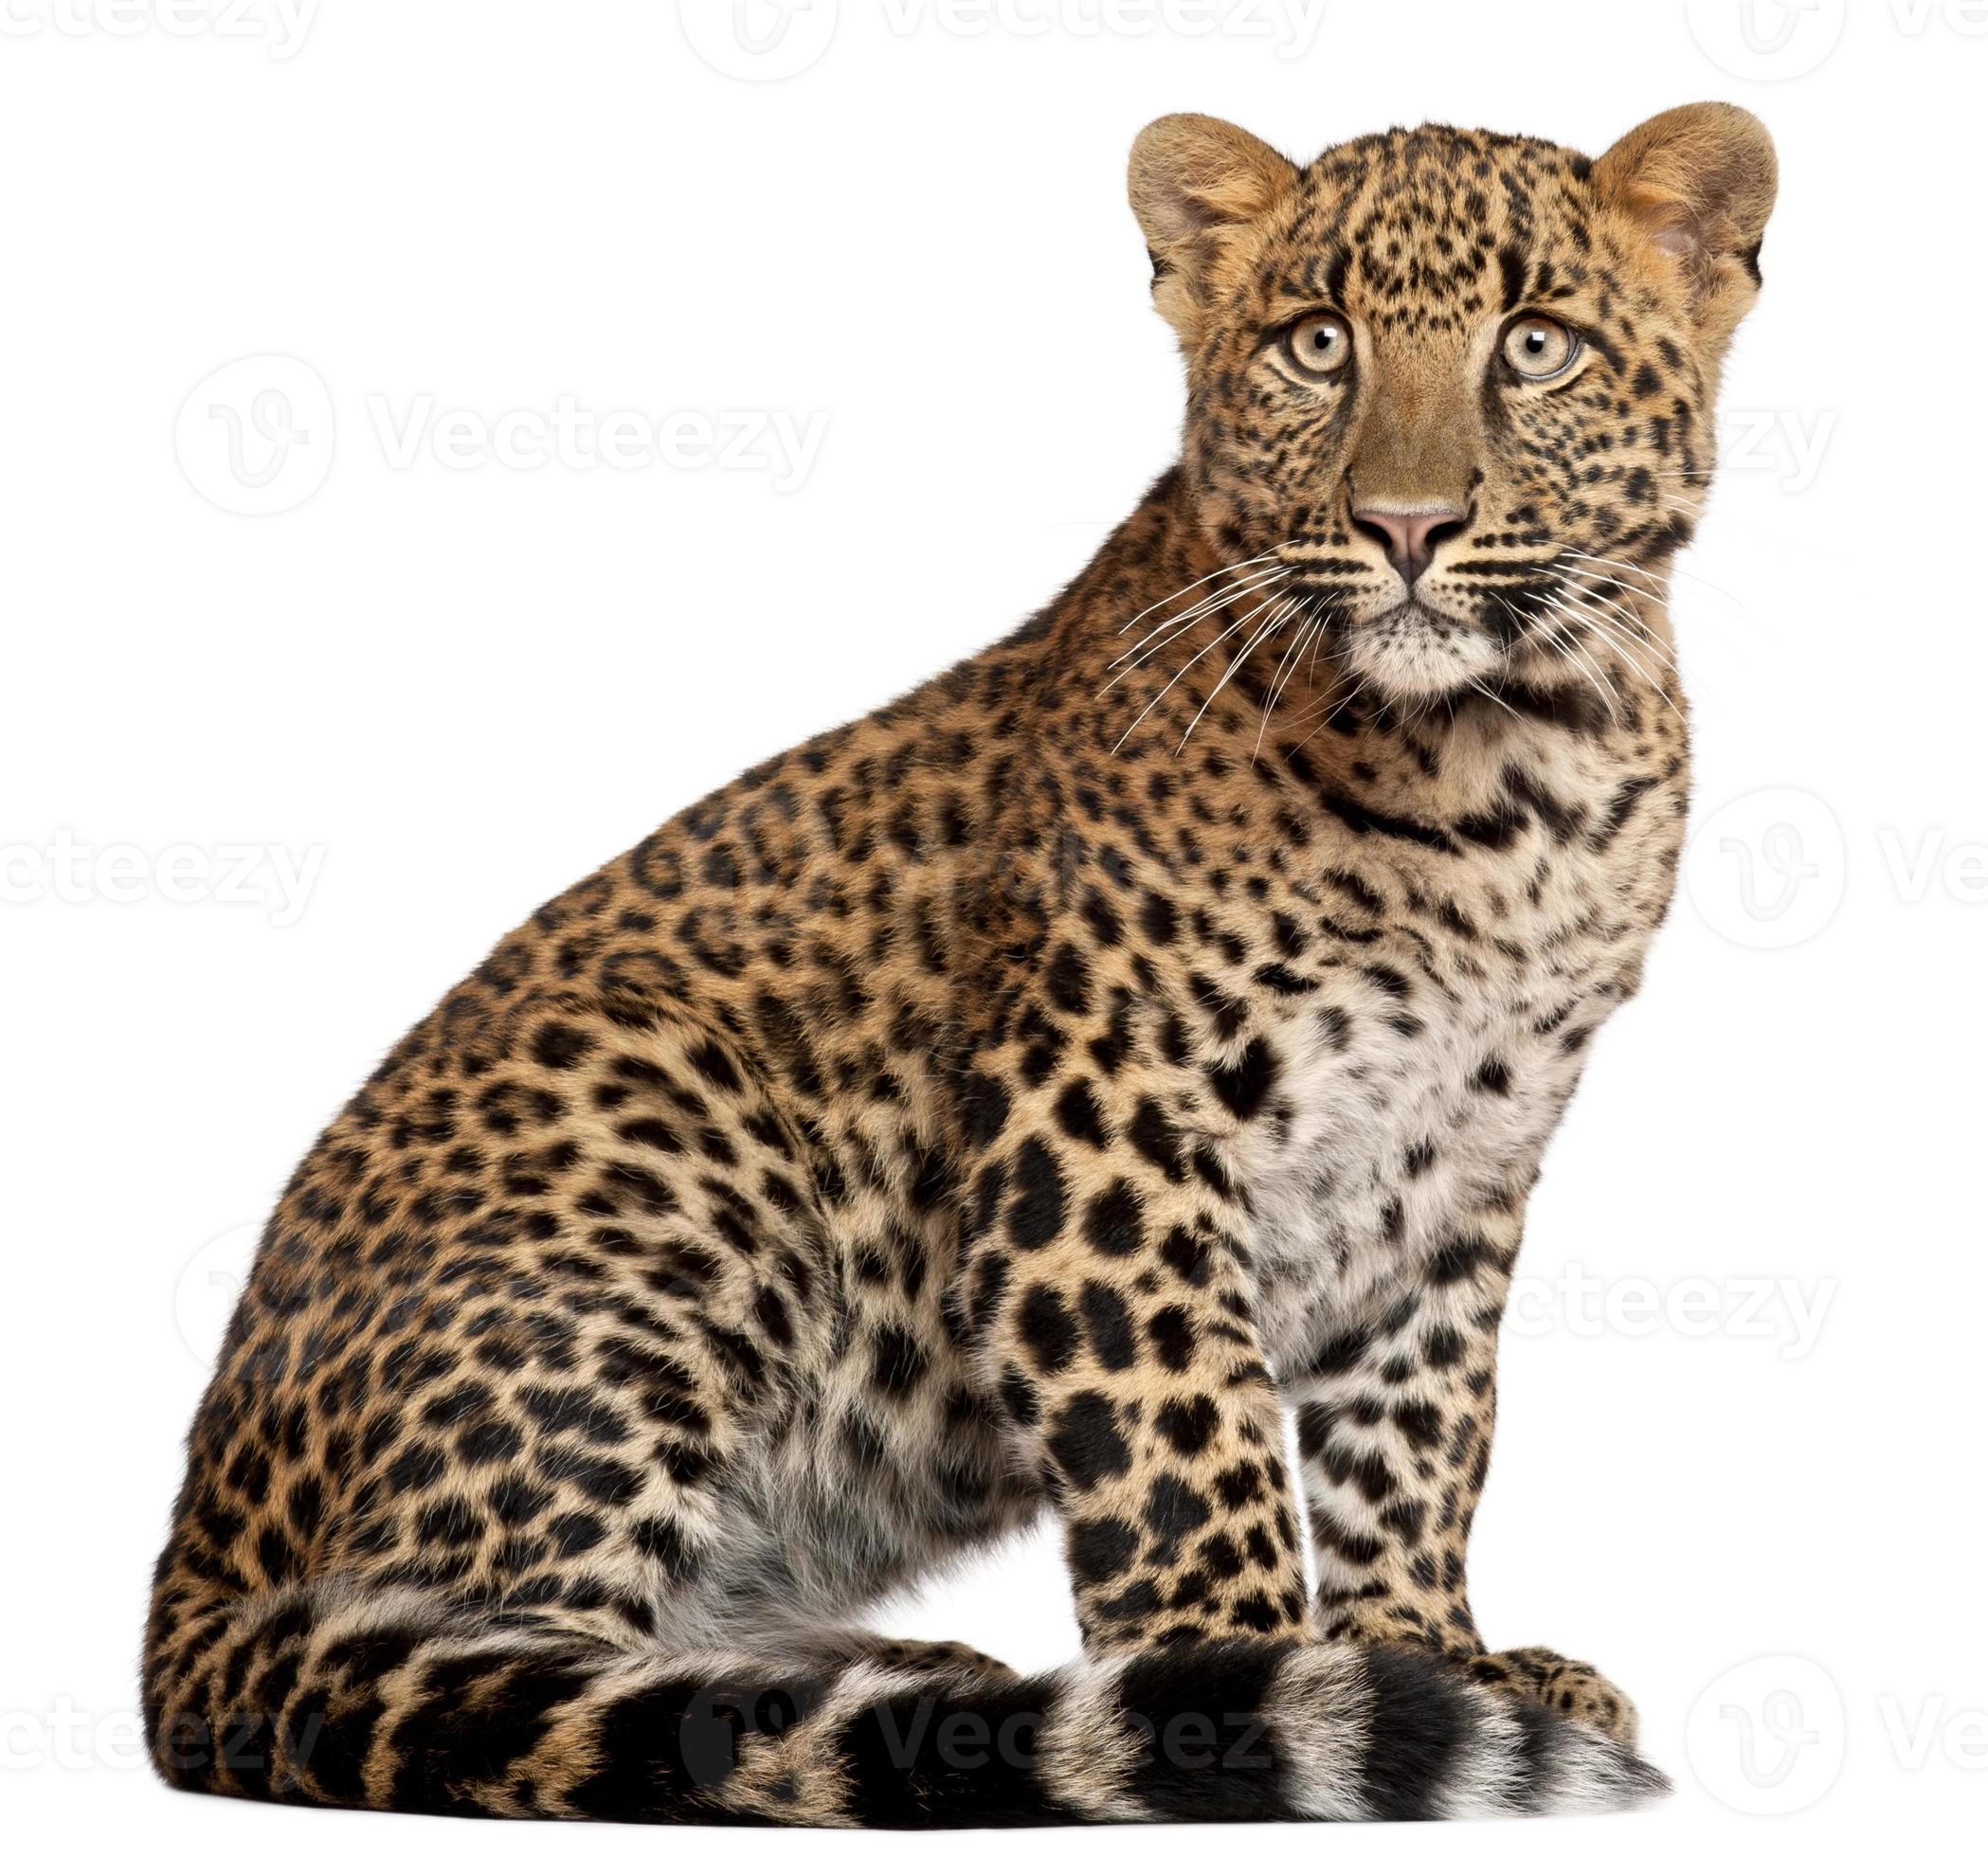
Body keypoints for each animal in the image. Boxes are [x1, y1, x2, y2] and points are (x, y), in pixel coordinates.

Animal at [142, 102, 1777, 1826]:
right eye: (1315, 343)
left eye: (1533, 346)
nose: (1407, 528)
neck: (1508, 770)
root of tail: (187, 1583)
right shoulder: (1101, 1123)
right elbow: (1185, 1440)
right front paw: (1257, 1686)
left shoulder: (1458, 1156)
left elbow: (1415, 1432)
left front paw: (1428, 1658)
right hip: (668, 1134)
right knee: (494, 1677)